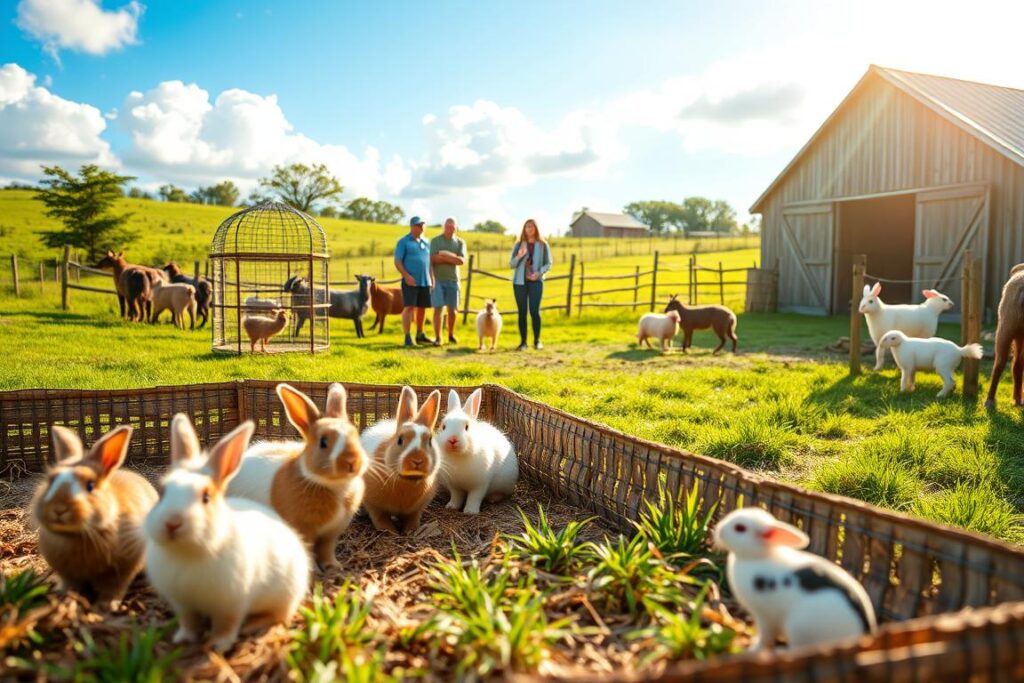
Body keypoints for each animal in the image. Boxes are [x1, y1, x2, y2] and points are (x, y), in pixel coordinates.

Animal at [31, 424, 157, 609]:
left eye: (90, 486)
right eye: (51, 480)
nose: (59, 509)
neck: (78, 536)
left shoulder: (121, 571)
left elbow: (113, 589)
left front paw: (106, 606)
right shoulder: (69, 576)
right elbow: (72, 586)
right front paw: (67, 599)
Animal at [144, 414, 310, 653]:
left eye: (206, 497)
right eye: (163, 491)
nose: (172, 523)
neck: (188, 552)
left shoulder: (231, 603)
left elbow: (227, 625)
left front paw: (217, 645)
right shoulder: (183, 604)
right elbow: (189, 622)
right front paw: (183, 639)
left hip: (285, 595)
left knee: (279, 615)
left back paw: (252, 625)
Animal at [228, 383, 368, 571]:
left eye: (355, 435)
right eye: (323, 442)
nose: (352, 461)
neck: (336, 486)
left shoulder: (330, 534)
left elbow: (327, 551)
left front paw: (334, 567)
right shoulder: (303, 531)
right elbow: (308, 553)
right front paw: (313, 571)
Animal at [359, 386, 442, 534]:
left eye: (430, 441)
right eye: (400, 440)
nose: (417, 460)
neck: (407, 482)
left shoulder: (415, 510)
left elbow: (412, 520)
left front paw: (410, 531)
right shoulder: (374, 506)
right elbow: (380, 519)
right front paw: (391, 532)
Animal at [714, 507, 876, 652]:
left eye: (740, 528)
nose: (719, 531)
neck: (759, 557)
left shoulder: (765, 617)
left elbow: (765, 638)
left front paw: (753, 649)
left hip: (798, 628)